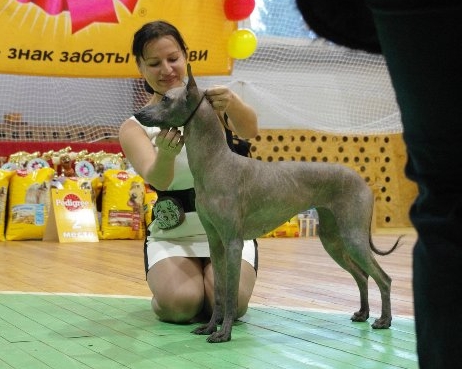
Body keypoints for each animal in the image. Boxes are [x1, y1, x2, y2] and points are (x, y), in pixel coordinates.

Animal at [134, 63, 400, 342]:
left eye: (166, 99)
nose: (137, 113)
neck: (215, 162)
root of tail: (362, 181)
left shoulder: (233, 243)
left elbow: (231, 294)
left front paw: (224, 332)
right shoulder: (215, 243)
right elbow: (218, 292)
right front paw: (210, 326)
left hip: (352, 237)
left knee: (383, 278)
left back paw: (384, 320)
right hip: (333, 240)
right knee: (362, 275)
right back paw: (363, 313)